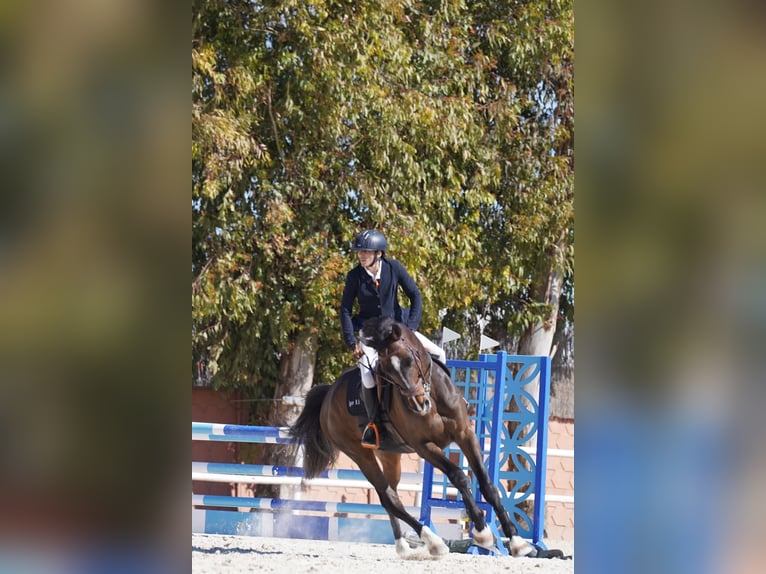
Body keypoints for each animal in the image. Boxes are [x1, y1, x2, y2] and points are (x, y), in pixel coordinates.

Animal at [289, 316, 534, 558]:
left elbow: (487, 485)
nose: (419, 405)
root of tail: (328, 394)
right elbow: (459, 476)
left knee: (391, 495)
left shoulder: (465, 434)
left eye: (409, 359)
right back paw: (433, 542)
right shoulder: (424, 446)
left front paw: (517, 542)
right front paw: (483, 534)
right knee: (388, 497)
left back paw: (404, 547)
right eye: (386, 371)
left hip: (389, 454)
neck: (433, 396)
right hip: (360, 455)